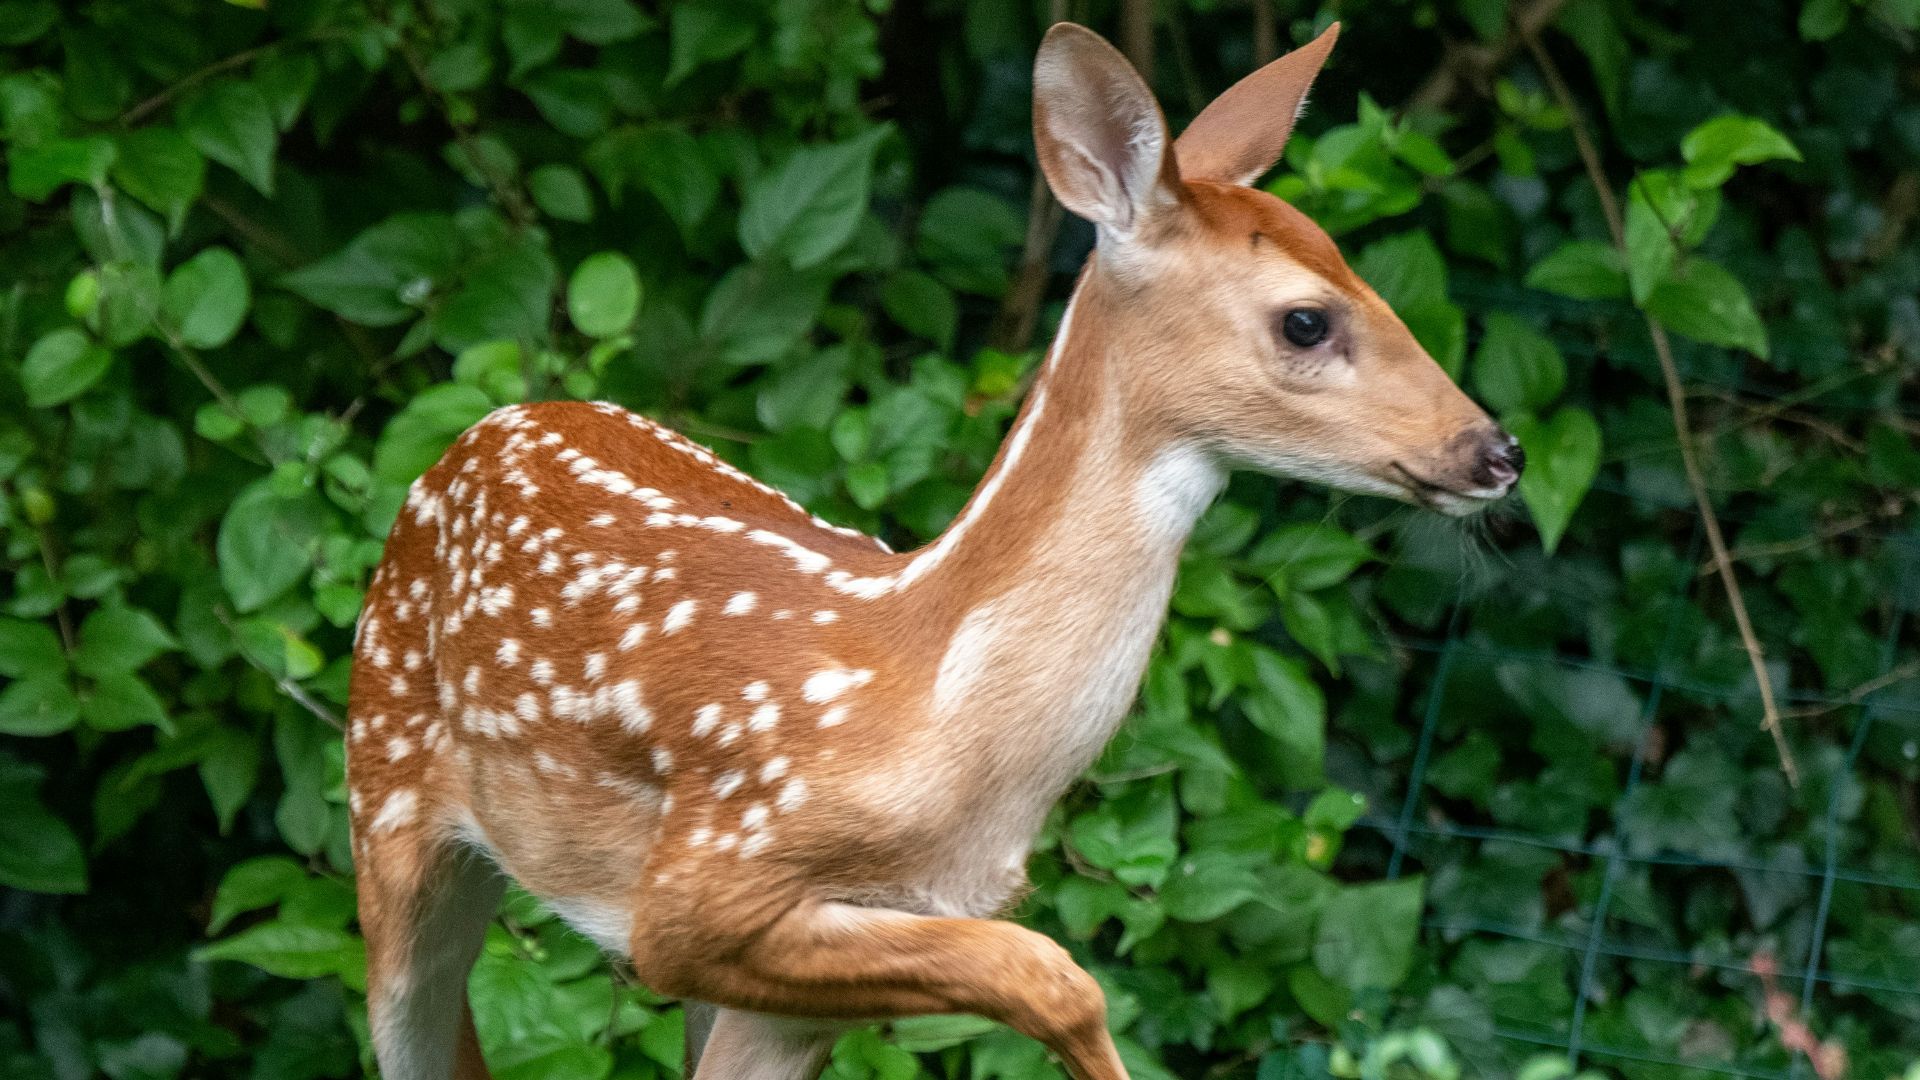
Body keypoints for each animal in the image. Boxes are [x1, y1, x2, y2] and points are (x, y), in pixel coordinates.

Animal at [344, 19, 1524, 1080]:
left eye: (1363, 275)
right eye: (1306, 321)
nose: (1495, 450)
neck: (936, 714)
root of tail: (480, 430)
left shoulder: (805, 979)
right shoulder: (698, 891)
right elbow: (1059, 976)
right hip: (385, 800)